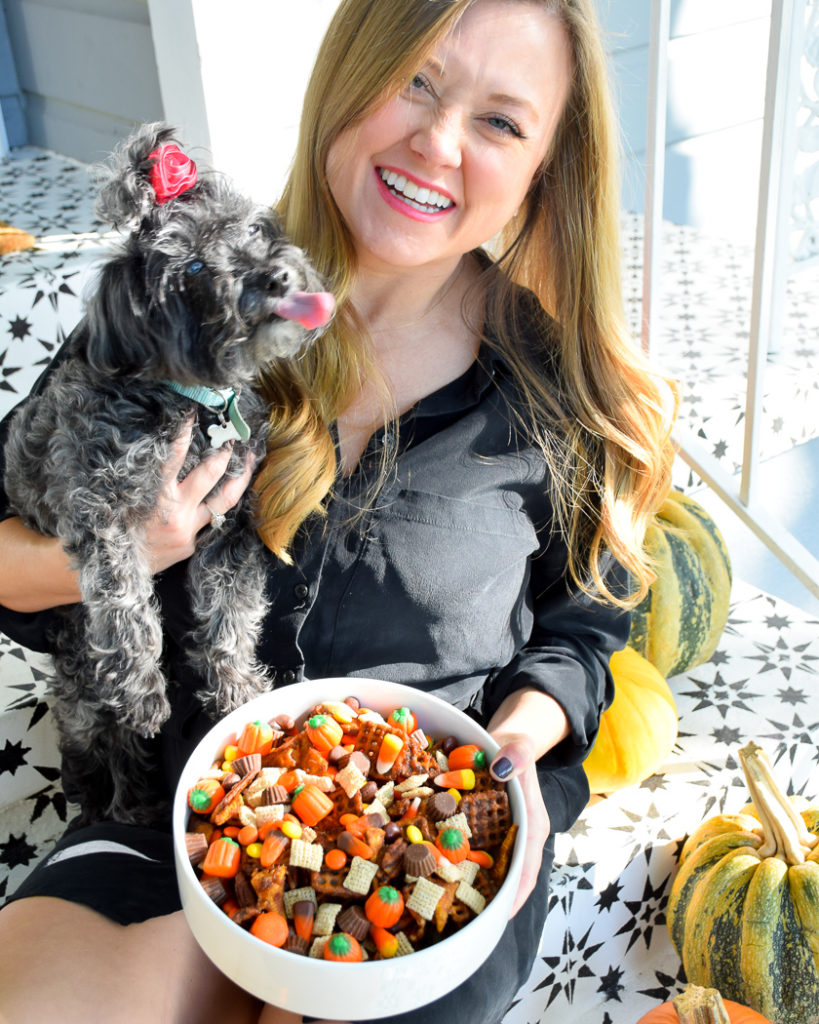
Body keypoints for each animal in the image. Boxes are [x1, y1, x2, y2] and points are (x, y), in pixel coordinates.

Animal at [3, 121, 333, 823]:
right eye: (195, 268)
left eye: (254, 229)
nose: (276, 274)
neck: (190, 398)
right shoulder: (102, 513)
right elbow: (126, 601)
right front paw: (141, 687)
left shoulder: (228, 532)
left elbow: (231, 621)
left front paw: (239, 696)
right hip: (78, 687)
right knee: (95, 737)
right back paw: (103, 792)